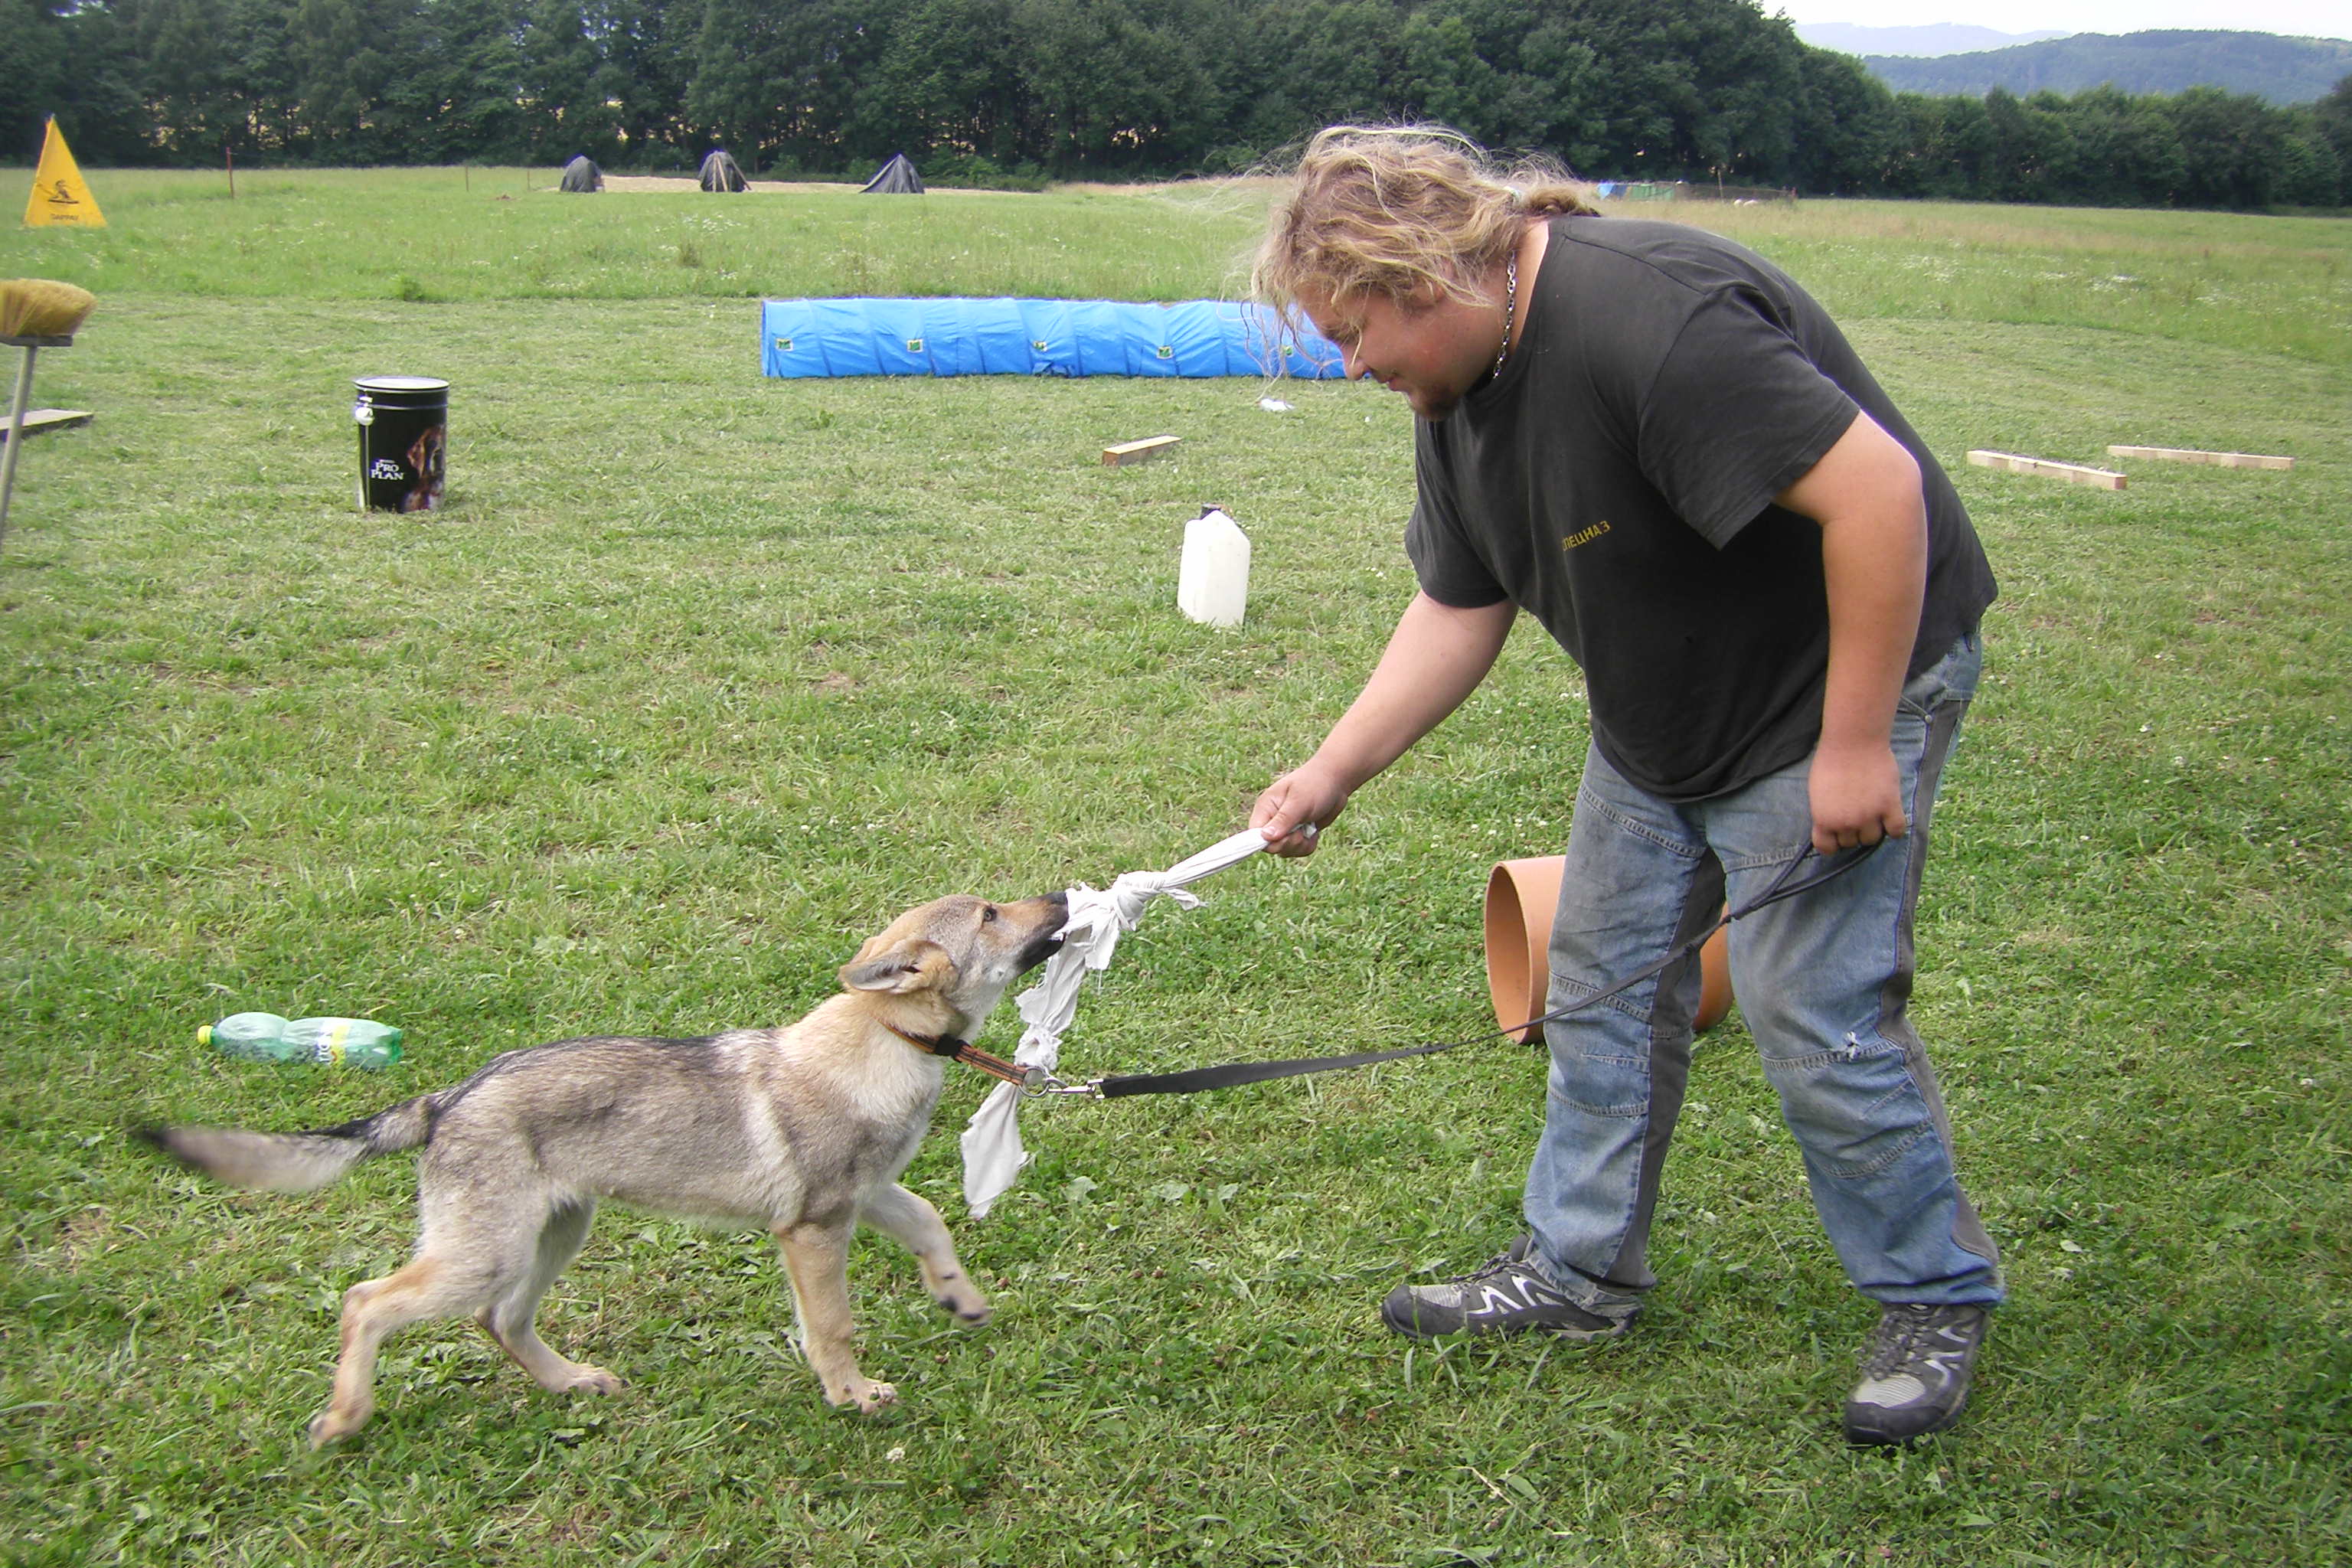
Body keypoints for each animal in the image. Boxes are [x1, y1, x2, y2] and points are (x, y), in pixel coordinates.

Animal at [139, 893, 1067, 1448]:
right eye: (992, 910)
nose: (1062, 895)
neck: (884, 1038)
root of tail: (445, 1099)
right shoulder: (813, 1228)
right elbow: (832, 1326)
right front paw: (853, 1394)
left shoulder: (867, 1196)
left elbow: (933, 1225)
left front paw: (959, 1297)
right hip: (486, 1252)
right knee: (367, 1301)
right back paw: (345, 1415)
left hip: (554, 1234)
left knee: (501, 1323)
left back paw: (573, 1381)